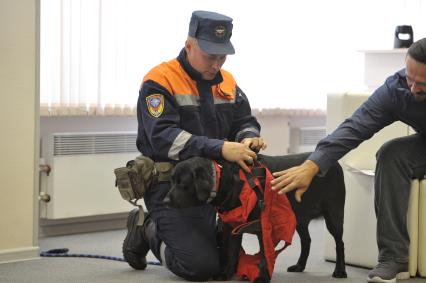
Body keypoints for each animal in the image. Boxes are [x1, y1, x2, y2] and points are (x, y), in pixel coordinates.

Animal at [165, 153, 348, 280]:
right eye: (172, 180)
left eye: (182, 183)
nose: (165, 201)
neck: (231, 182)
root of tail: (335, 164)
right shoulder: (232, 228)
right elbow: (231, 253)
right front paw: (226, 274)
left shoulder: (262, 227)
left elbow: (264, 256)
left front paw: (262, 277)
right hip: (299, 219)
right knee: (307, 241)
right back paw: (300, 265)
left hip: (334, 215)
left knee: (340, 243)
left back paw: (340, 271)